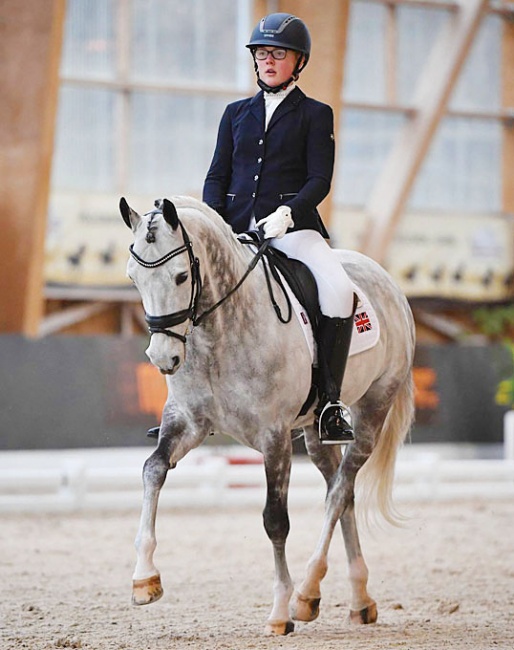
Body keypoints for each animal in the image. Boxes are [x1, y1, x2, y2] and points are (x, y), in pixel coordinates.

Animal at [118, 196, 414, 632]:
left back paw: (306, 593)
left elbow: (275, 520)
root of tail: (387, 281)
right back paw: (357, 600)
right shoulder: (187, 421)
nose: (163, 358)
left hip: (373, 410)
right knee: (342, 493)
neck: (217, 331)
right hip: (316, 432)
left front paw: (279, 612)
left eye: (181, 276)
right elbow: (152, 471)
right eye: (134, 278)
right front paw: (144, 579)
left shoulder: (273, 437)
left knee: (339, 492)